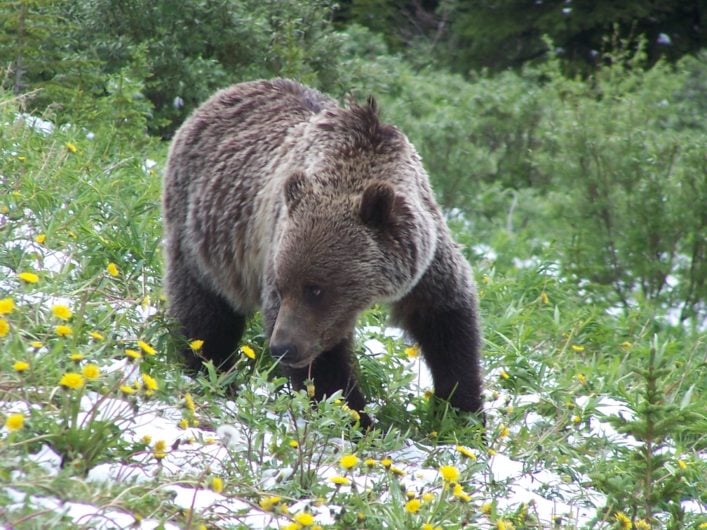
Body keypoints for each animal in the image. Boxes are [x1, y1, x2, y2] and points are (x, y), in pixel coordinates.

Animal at [162, 79, 482, 424]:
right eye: (281, 285)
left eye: (315, 289)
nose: (282, 347)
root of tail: (215, 98)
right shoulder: (278, 243)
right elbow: (325, 365)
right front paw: (356, 417)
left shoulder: (425, 258)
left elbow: (446, 320)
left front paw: (462, 412)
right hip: (200, 233)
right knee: (204, 310)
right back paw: (212, 370)